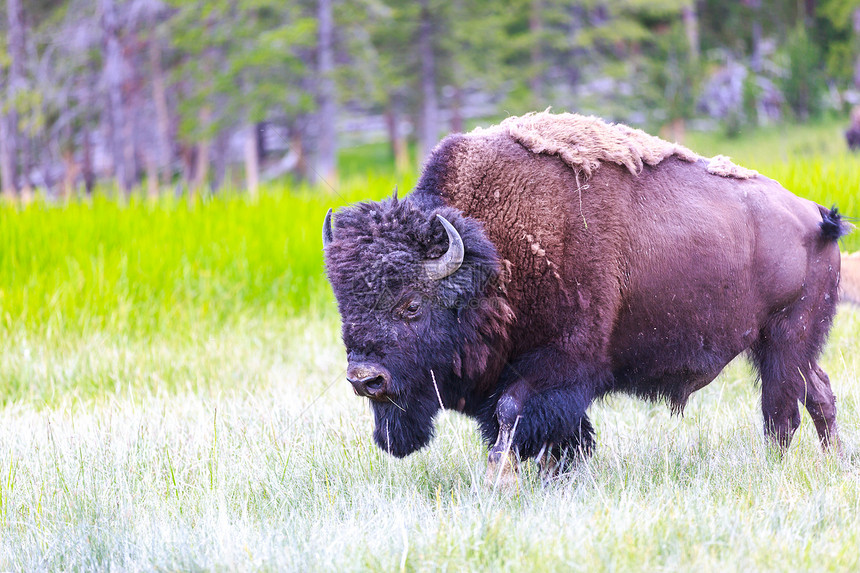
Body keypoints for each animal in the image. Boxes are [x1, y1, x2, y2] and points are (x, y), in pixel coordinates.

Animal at [324, 110, 852, 474]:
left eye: (411, 304)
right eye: (343, 304)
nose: (364, 379)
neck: (493, 254)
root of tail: (815, 215)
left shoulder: (561, 365)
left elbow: (514, 415)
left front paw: (501, 477)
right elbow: (550, 432)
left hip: (784, 340)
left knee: (782, 413)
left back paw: (779, 467)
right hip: (788, 345)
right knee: (819, 394)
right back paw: (836, 463)